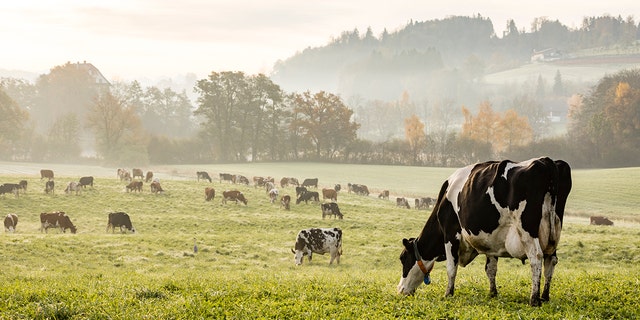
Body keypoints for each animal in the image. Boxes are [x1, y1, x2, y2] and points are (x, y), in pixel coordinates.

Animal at [398, 158, 572, 308]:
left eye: (403, 258)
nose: (400, 289)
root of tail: (546, 161)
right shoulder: (491, 241)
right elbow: (490, 269)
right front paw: (492, 293)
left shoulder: (450, 233)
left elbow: (451, 267)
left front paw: (448, 293)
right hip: (554, 233)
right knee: (551, 260)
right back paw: (545, 296)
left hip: (527, 230)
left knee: (536, 257)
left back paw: (534, 299)